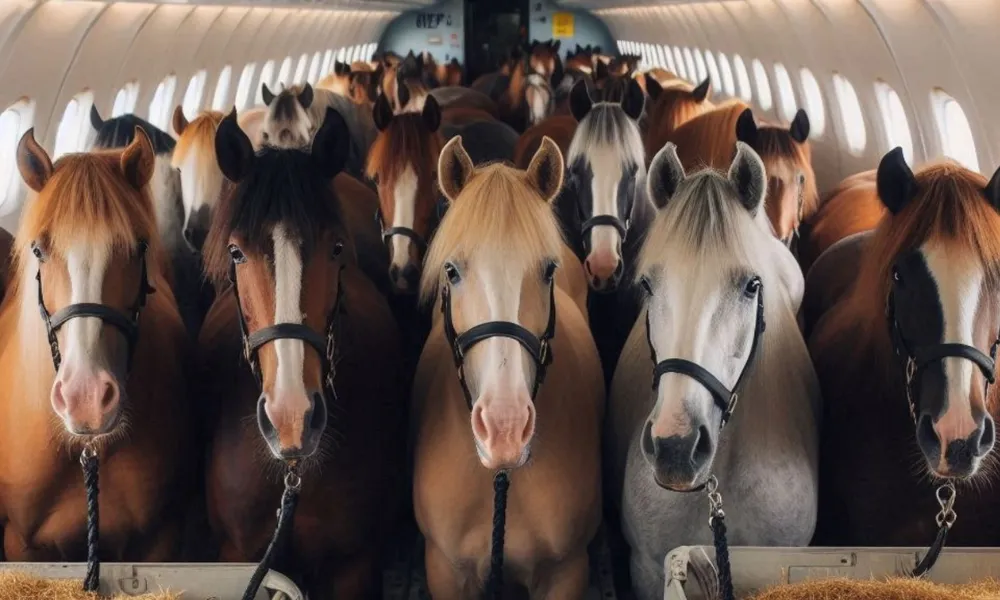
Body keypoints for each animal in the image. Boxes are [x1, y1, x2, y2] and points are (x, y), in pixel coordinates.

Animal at [198, 107, 406, 598]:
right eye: (236, 252)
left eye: (337, 248)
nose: (291, 418)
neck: (292, 477)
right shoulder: (235, 556)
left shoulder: (354, 568)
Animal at [412, 134, 600, 598]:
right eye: (451, 270)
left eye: (548, 270)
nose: (504, 429)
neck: (500, 478)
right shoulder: (444, 571)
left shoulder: (567, 572)